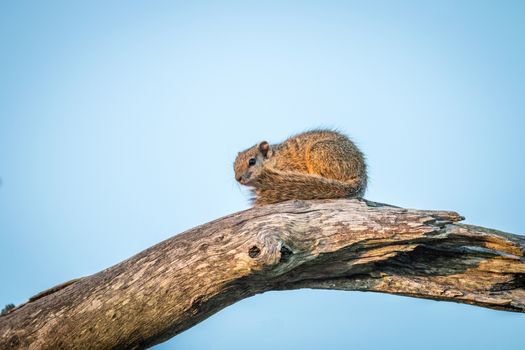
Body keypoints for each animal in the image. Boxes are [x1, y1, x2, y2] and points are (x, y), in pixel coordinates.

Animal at [231, 129, 366, 205]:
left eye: (252, 161)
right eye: (233, 165)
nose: (238, 178)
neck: (274, 159)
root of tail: (361, 175)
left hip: (321, 153)